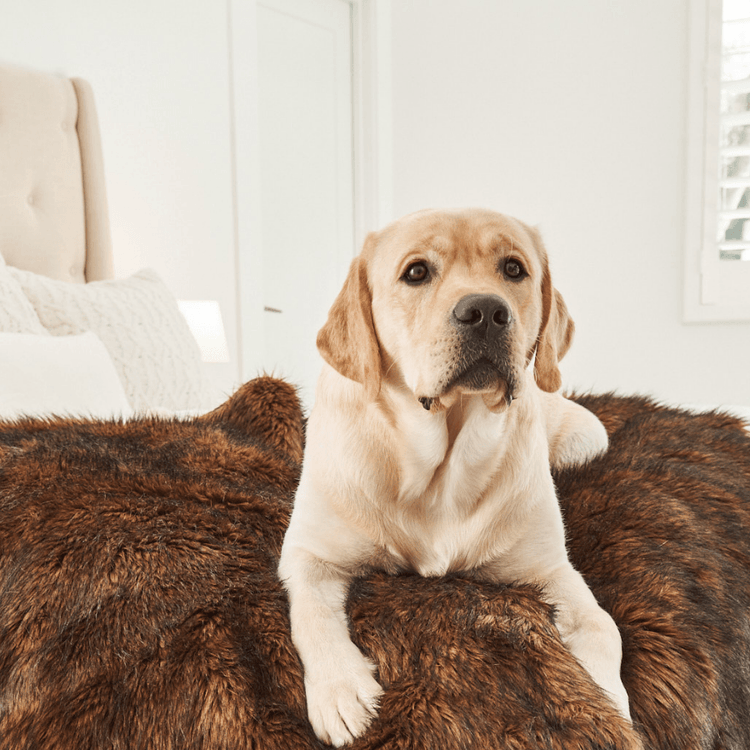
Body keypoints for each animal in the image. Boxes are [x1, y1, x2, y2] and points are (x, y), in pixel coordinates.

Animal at [280, 210, 632, 748]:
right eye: (417, 272)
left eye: (513, 268)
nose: (486, 311)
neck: (441, 470)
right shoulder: (307, 553)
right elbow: (312, 617)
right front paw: (342, 691)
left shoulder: (551, 569)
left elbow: (602, 625)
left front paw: (611, 700)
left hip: (587, 436)